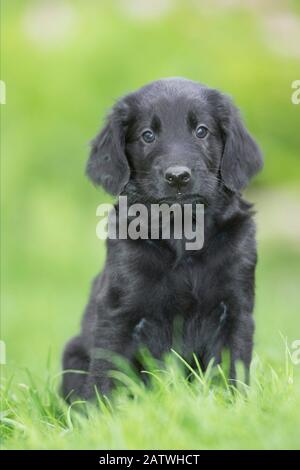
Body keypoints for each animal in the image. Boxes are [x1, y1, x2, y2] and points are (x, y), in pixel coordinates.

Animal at [61, 78, 262, 400]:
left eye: (201, 130)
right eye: (148, 135)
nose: (178, 177)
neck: (181, 230)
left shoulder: (236, 310)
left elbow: (233, 367)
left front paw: (235, 403)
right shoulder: (118, 314)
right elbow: (107, 372)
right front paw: (103, 410)